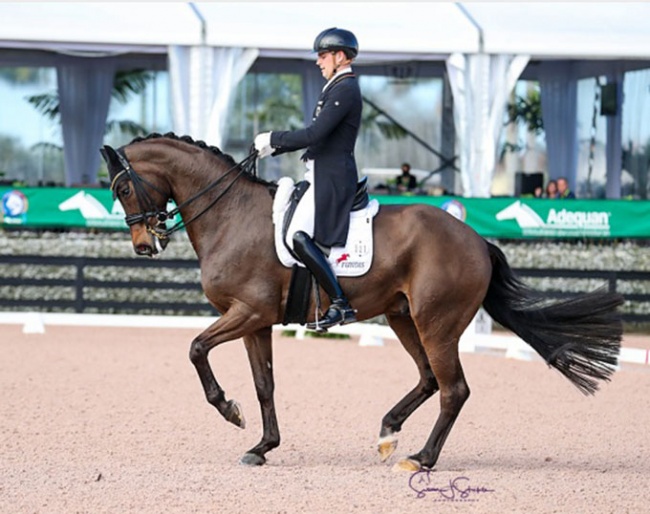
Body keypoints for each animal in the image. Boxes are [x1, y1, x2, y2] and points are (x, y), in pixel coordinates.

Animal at [101, 134, 624, 470]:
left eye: (123, 188)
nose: (145, 246)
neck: (231, 215)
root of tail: (476, 239)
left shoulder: (246, 312)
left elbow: (195, 349)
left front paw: (229, 410)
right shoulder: (255, 321)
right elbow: (264, 385)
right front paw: (262, 445)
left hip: (437, 324)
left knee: (453, 389)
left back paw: (421, 459)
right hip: (403, 317)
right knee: (429, 379)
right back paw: (388, 432)